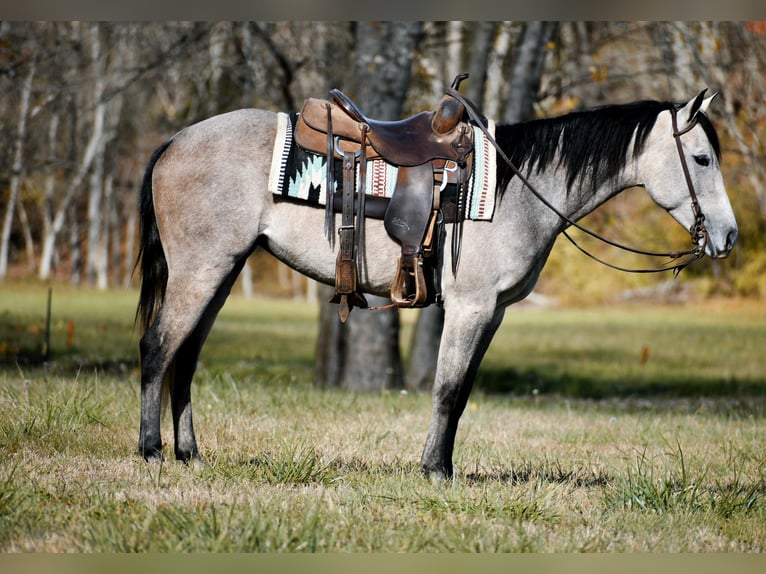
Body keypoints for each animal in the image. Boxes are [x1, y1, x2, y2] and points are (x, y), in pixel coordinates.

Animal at [136, 89, 736, 482]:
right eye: (702, 158)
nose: (728, 236)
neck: (518, 187)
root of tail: (176, 139)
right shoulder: (470, 307)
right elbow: (447, 389)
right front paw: (434, 471)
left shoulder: (491, 312)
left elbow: (462, 393)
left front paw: (443, 465)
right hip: (201, 271)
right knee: (157, 349)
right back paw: (150, 451)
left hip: (222, 272)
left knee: (184, 359)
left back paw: (190, 454)